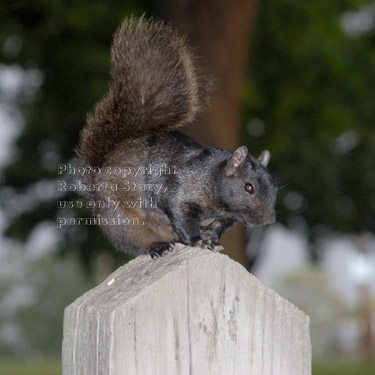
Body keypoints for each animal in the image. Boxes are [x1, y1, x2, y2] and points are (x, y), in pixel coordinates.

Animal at [75, 16, 278, 258]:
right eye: (249, 187)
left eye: (275, 187)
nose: (268, 220)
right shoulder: (178, 189)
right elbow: (181, 215)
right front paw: (198, 241)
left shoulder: (226, 218)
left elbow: (216, 229)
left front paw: (212, 241)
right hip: (121, 221)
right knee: (137, 241)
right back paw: (157, 246)